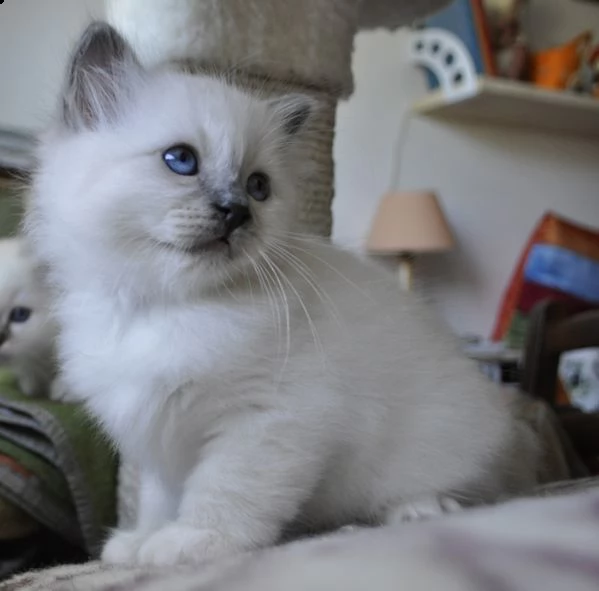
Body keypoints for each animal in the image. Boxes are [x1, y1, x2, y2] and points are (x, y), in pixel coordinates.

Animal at [27, 24, 544, 568]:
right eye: (181, 160)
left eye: (258, 187)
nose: (236, 213)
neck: (164, 307)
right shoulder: (161, 442)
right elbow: (158, 499)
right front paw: (137, 545)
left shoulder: (268, 421)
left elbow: (222, 491)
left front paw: (190, 543)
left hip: (436, 442)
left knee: (465, 490)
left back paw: (419, 510)